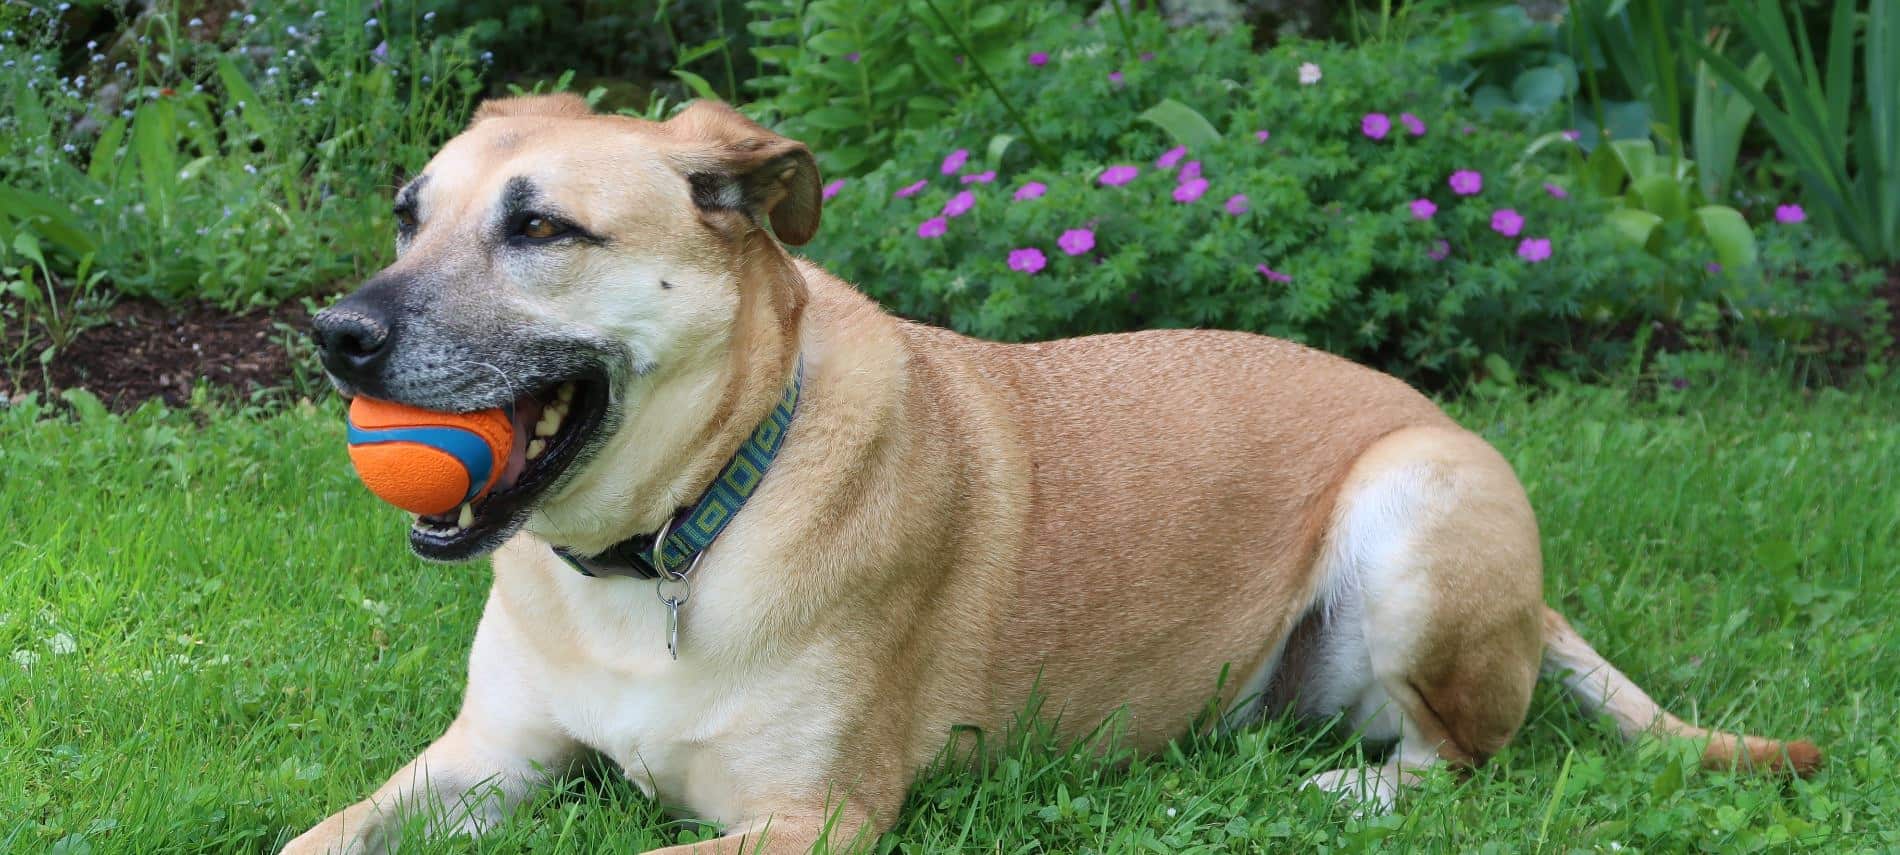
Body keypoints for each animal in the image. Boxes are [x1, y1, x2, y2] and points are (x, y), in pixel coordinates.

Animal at [288, 95, 1816, 855]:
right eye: (410, 215)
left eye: (541, 227)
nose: (335, 336)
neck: (677, 536)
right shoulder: (483, 762)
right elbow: (317, 838)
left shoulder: (812, 822)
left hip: (1415, 511)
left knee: (1467, 760)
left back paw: (1348, 791)